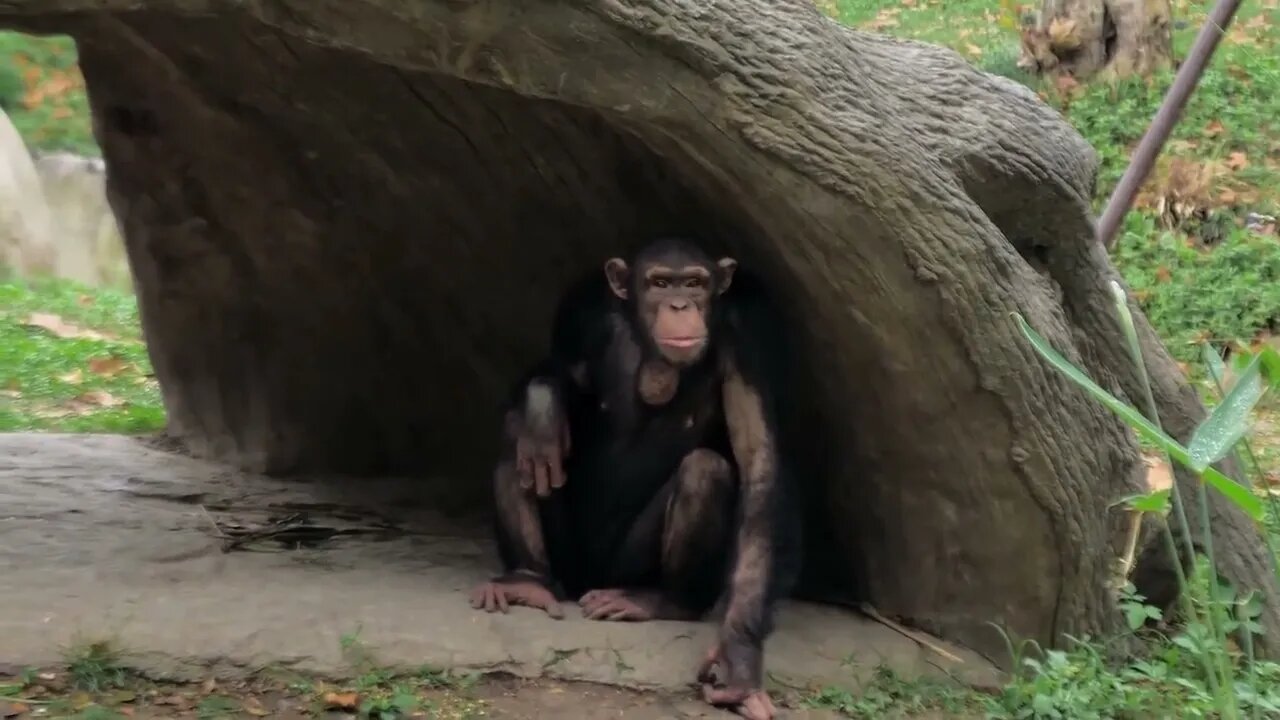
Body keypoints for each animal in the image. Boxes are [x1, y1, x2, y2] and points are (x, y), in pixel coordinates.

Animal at [471, 237, 793, 717]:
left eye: (694, 283)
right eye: (659, 283)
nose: (680, 304)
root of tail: (589, 582)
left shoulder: (747, 335)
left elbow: (758, 461)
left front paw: (738, 662)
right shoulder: (581, 313)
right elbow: (552, 371)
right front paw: (543, 407)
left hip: (623, 567)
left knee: (705, 469)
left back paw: (662, 600)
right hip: (570, 561)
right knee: (519, 447)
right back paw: (528, 579)